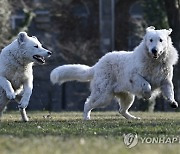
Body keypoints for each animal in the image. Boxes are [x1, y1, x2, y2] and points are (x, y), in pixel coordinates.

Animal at [50, 26, 179, 119]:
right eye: (150, 40)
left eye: (161, 40)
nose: (154, 50)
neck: (154, 62)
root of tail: (97, 65)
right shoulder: (134, 76)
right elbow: (146, 84)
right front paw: (147, 95)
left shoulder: (166, 81)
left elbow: (170, 92)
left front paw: (172, 102)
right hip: (103, 96)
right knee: (88, 104)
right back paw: (86, 118)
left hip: (127, 96)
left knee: (121, 110)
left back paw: (133, 118)